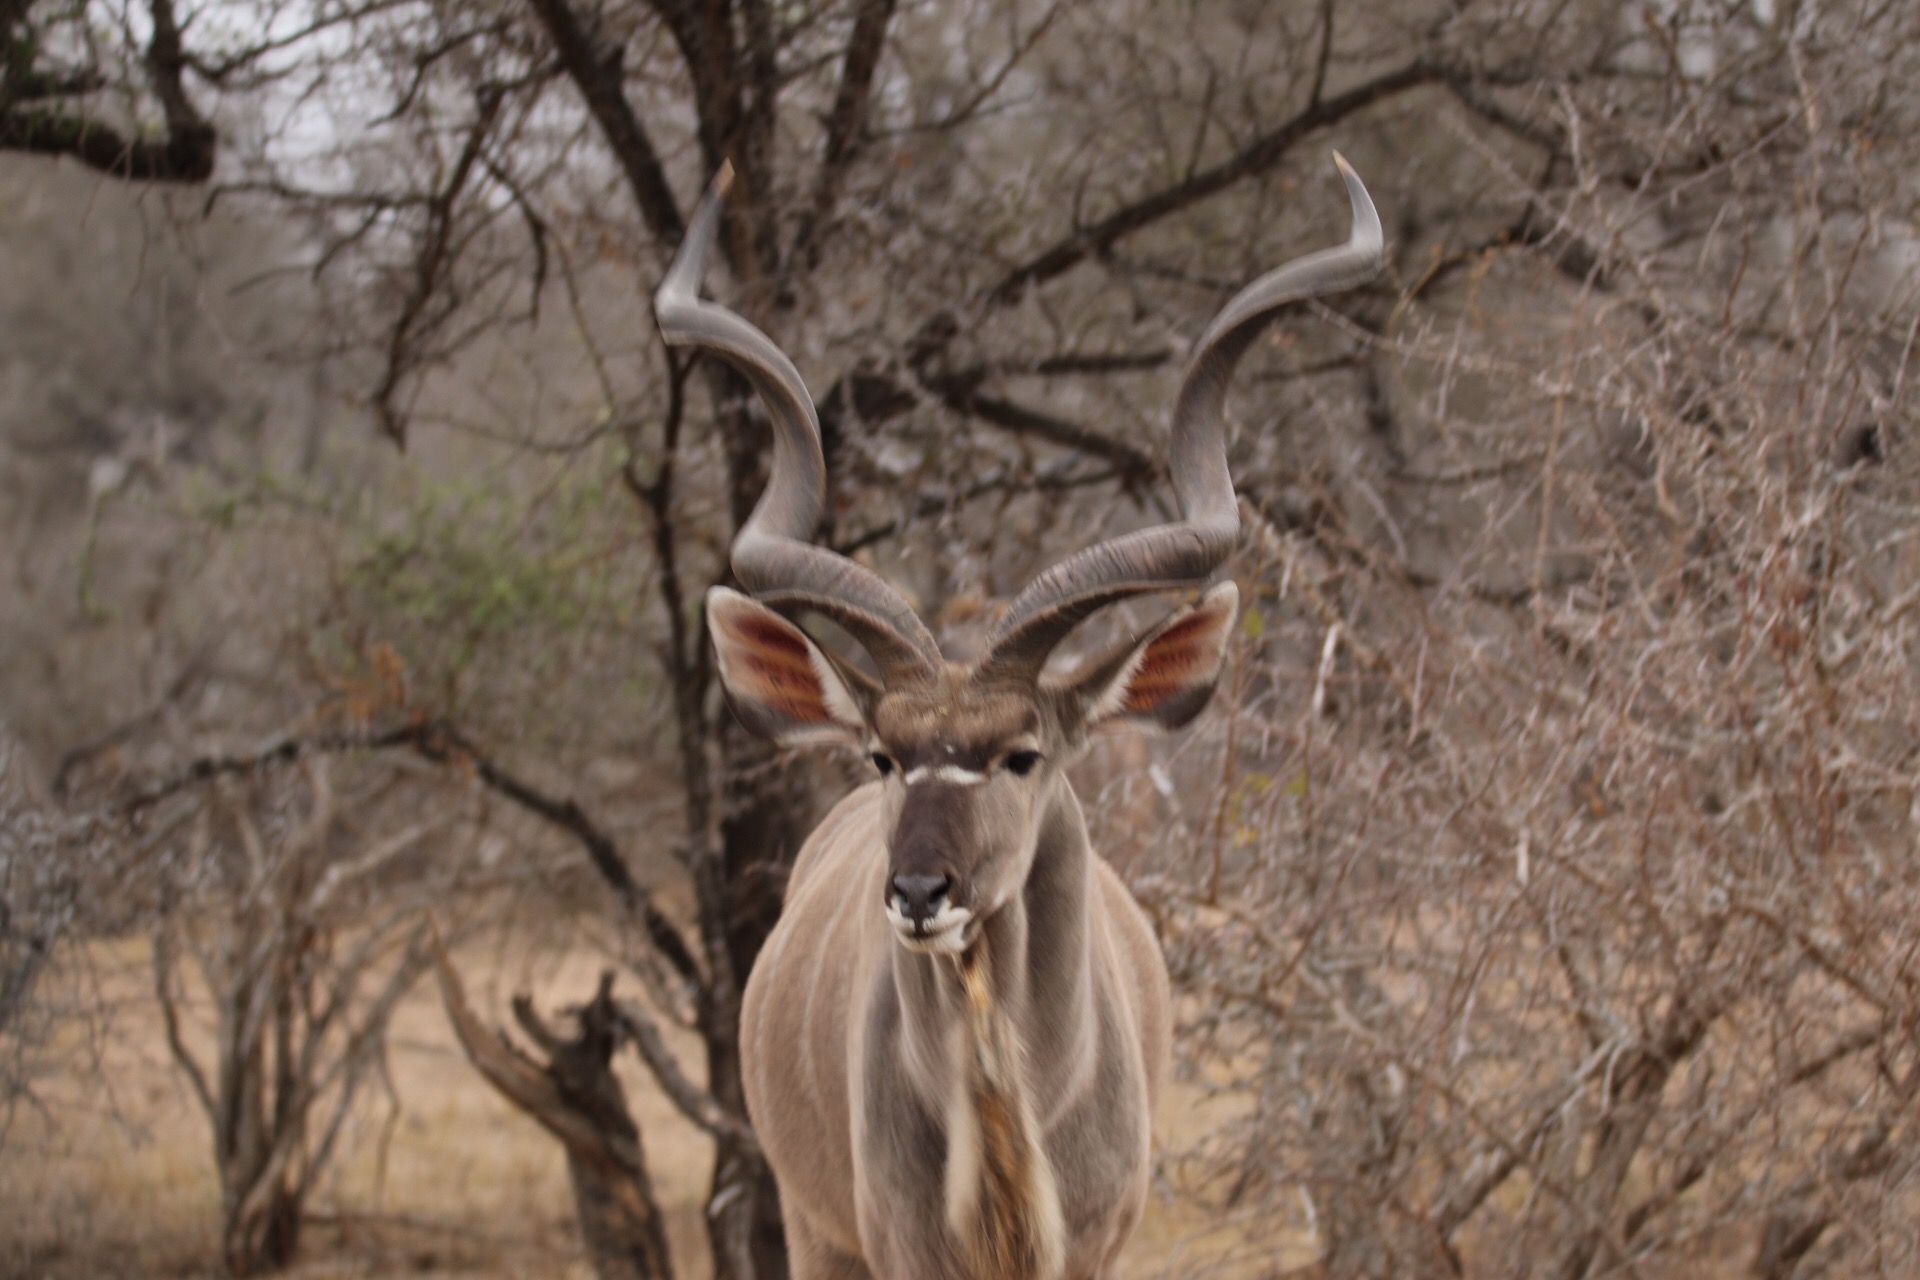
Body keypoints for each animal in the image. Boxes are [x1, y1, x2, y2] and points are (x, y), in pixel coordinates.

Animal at [660, 155, 1382, 1274]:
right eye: (881, 756)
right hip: (811, 1224)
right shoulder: (895, 1247)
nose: (921, 891)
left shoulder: (1101, 1243)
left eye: (1023, 755)